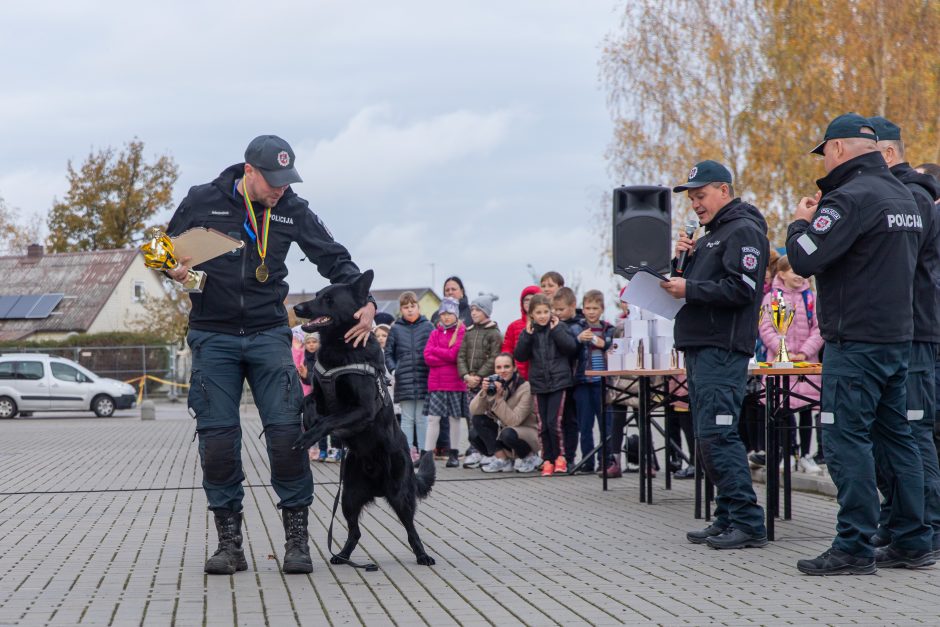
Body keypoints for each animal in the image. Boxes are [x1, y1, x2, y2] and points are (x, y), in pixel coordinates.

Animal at [290, 272, 436, 568]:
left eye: (328, 299)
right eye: (318, 295)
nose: (296, 308)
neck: (339, 346)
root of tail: (378, 487)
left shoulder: (363, 410)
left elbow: (329, 420)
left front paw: (308, 436)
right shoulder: (320, 396)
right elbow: (308, 402)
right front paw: (308, 422)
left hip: (400, 495)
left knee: (411, 530)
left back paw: (423, 555)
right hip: (349, 496)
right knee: (355, 531)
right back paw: (343, 556)